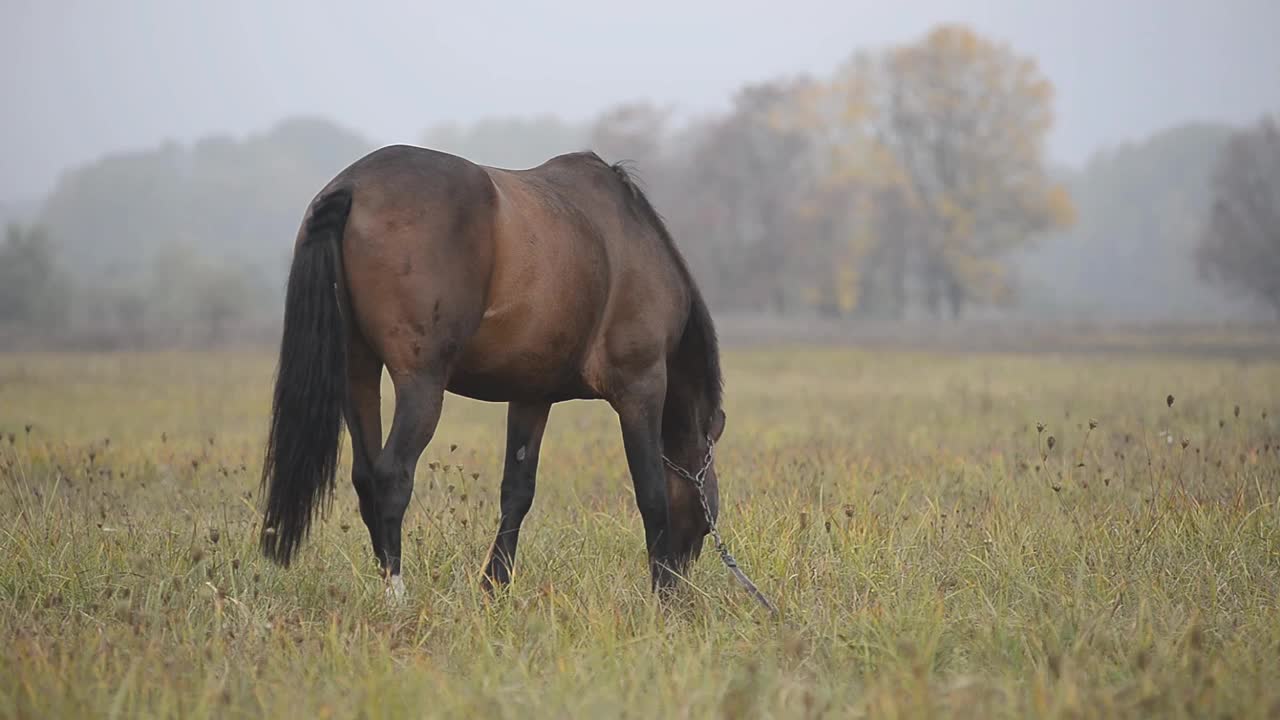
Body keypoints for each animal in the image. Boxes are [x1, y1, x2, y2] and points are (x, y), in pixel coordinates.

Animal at [254, 142, 727, 597]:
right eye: (708, 513)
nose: (683, 575)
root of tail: (352, 185)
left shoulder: (532, 396)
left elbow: (517, 491)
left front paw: (495, 584)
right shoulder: (640, 388)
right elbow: (652, 495)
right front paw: (662, 594)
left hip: (357, 373)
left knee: (366, 476)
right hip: (421, 385)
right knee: (391, 476)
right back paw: (396, 595)